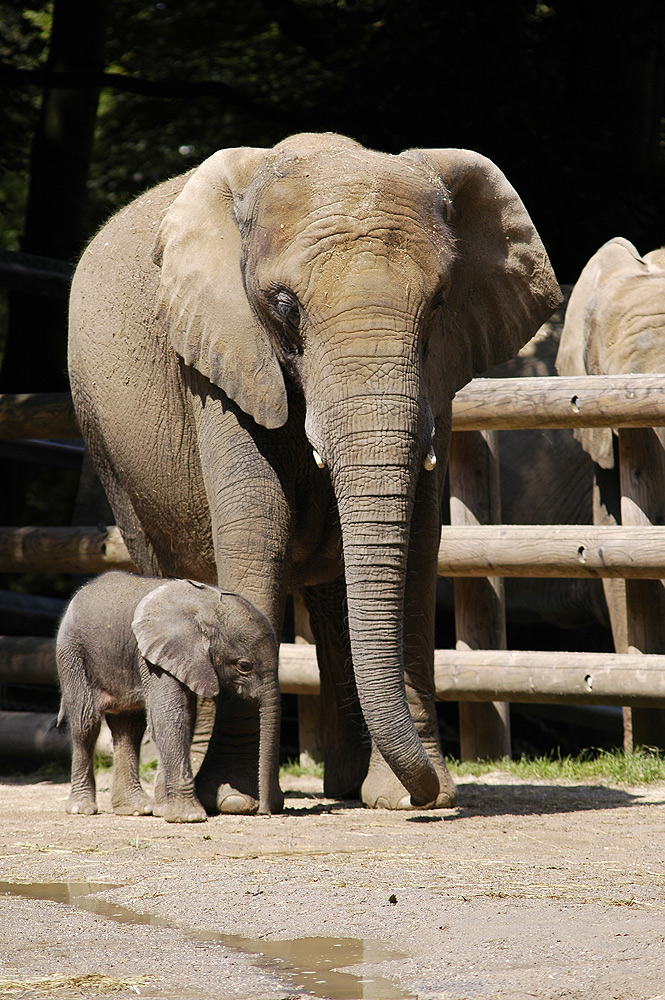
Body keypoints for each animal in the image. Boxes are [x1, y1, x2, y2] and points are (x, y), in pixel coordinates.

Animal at [55, 572, 282, 820]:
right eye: (244, 666)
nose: (264, 812)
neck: (205, 609)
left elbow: (184, 718)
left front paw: (165, 809)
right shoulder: (153, 656)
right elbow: (168, 716)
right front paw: (189, 816)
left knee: (129, 728)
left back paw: (136, 809)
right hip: (71, 653)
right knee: (85, 723)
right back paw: (82, 809)